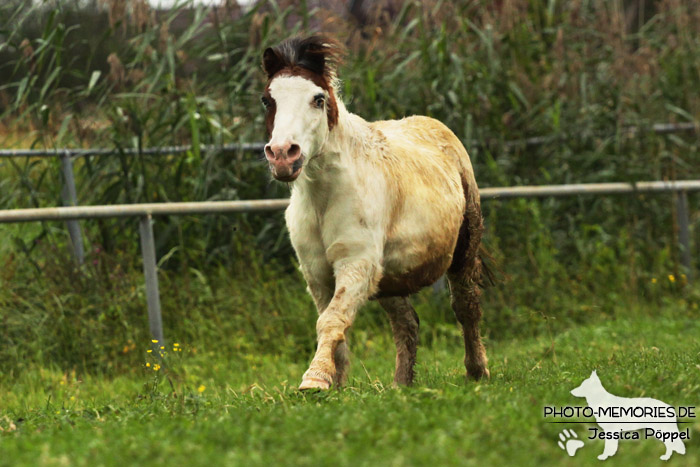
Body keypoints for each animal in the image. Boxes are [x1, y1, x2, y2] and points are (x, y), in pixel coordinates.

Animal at [262, 34, 486, 390]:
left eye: (318, 99)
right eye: (267, 100)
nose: (283, 154)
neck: (325, 198)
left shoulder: (356, 264)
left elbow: (331, 320)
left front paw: (314, 380)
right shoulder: (317, 274)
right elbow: (332, 324)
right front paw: (335, 385)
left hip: (464, 249)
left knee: (466, 306)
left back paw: (477, 372)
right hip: (389, 280)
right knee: (407, 323)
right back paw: (400, 385)